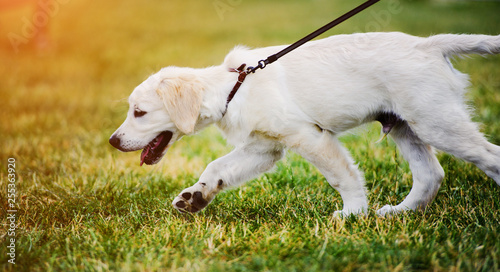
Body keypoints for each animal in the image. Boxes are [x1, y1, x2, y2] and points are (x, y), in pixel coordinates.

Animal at [110, 31, 500, 216]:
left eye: (139, 112)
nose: (113, 141)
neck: (234, 87)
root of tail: (429, 45)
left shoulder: (309, 137)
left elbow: (342, 177)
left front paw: (353, 213)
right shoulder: (264, 146)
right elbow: (217, 166)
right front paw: (196, 196)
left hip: (436, 120)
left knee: (489, 157)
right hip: (405, 125)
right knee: (430, 174)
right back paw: (397, 214)